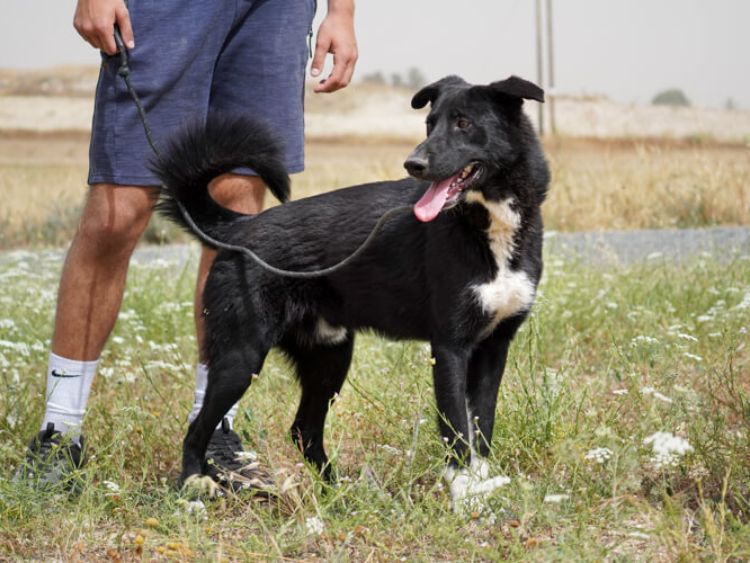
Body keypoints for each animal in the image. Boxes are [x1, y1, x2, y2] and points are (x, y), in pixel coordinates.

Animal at [154, 74, 552, 506]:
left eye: (464, 123)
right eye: (430, 125)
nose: (414, 164)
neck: (487, 222)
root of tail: (239, 228)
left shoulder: (494, 348)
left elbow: (481, 429)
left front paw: (480, 492)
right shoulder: (449, 348)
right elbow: (457, 432)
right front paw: (463, 499)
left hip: (330, 356)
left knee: (303, 430)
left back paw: (339, 494)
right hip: (241, 357)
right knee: (197, 429)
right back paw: (193, 488)